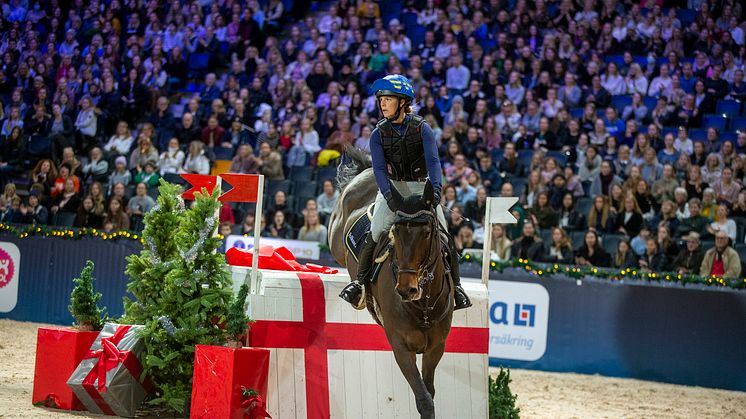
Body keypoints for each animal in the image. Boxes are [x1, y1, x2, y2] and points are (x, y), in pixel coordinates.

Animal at [326, 149, 454, 418]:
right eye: (396, 230)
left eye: (427, 232)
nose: (407, 288)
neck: (422, 306)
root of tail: (365, 171)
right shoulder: (401, 348)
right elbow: (424, 400)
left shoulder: (435, 348)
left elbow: (429, 393)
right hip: (335, 238)